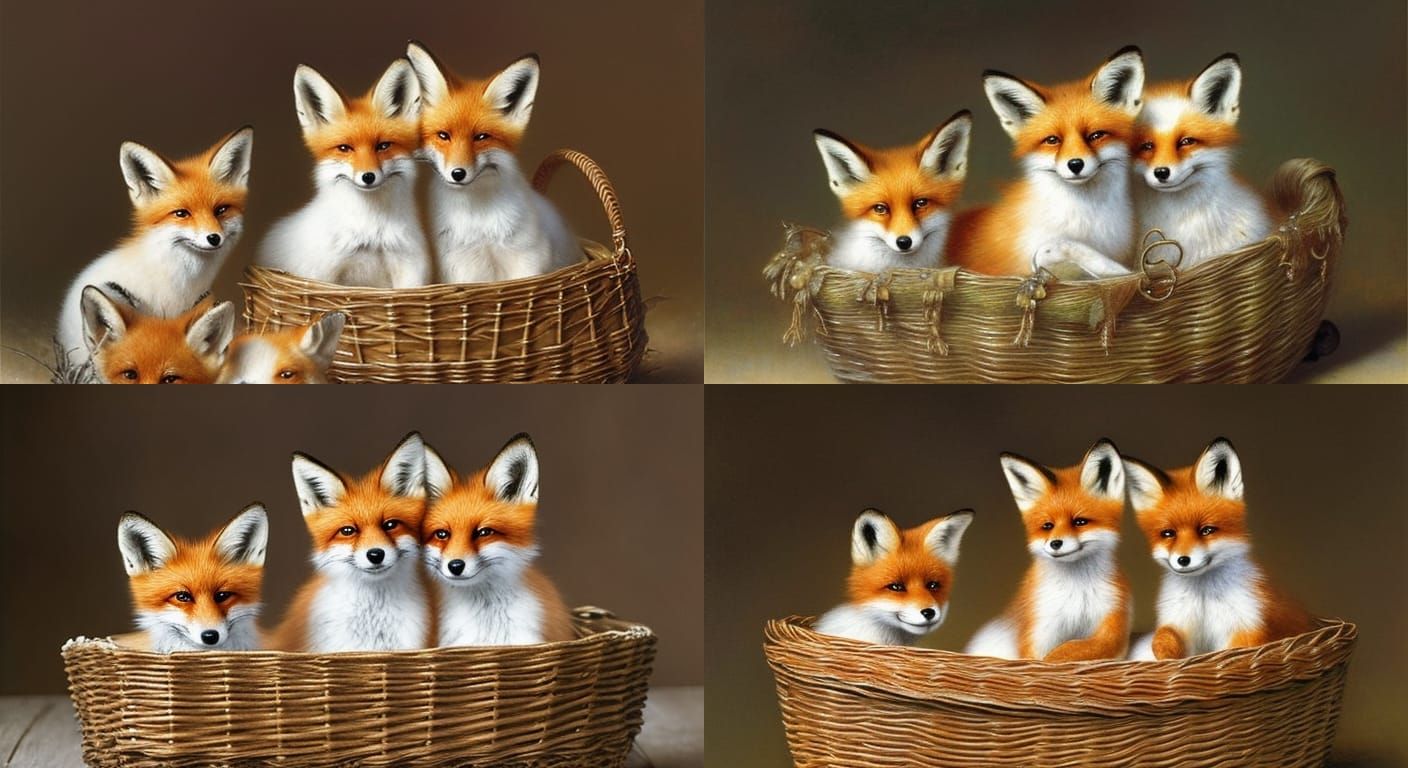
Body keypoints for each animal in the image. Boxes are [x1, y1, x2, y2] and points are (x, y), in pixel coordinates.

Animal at [259, 60, 430, 288]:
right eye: (344, 148)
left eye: (383, 146)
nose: (368, 176)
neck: (370, 232)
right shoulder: (322, 274)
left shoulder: (408, 267)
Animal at [404, 43, 580, 283]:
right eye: (443, 136)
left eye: (481, 137)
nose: (458, 173)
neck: (480, 223)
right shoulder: (462, 266)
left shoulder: (528, 257)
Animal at [966, 439, 1131, 661]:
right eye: (1047, 526)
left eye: (1080, 522)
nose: (1055, 543)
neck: (1076, 593)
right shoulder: (1038, 630)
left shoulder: (1114, 616)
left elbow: (1080, 647)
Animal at [1124, 438, 1312, 660]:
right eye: (1168, 534)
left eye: (1206, 530)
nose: (1183, 560)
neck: (1204, 599)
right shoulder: (1179, 621)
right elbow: (1162, 639)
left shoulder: (1246, 626)